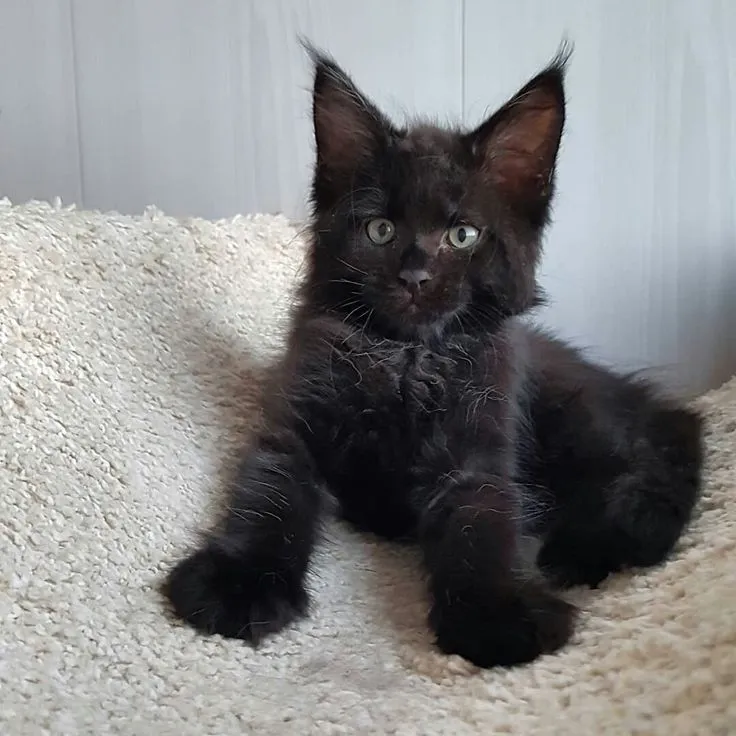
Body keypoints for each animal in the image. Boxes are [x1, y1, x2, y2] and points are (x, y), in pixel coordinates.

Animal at [164, 44, 704, 668]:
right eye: (380, 230)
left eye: (463, 235)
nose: (415, 276)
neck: (405, 359)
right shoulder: (294, 426)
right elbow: (266, 496)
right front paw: (239, 582)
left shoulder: (478, 453)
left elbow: (481, 525)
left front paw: (494, 616)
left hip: (582, 419)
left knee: (666, 452)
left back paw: (589, 543)